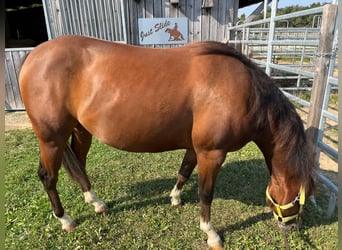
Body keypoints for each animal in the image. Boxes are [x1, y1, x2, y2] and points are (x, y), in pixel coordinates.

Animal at [19, 35, 316, 250]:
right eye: (303, 197)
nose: (293, 228)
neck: (245, 92)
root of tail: (33, 55)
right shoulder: (213, 152)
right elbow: (206, 193)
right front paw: (211, 234)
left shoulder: (196, 148)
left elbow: (184, 170)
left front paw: (174, 198)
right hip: (51, 137)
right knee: (48, 176)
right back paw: (65, 220)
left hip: (81, 130)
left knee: (79, 166)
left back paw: (96, 202)